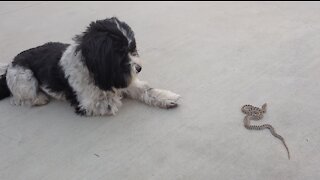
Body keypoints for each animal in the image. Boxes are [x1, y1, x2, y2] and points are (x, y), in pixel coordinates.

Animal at [0, 16, 180, 115]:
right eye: (120, 53)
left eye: (132, 49)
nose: (139, 68)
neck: (94, 69)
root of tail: (10, 64)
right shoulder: (88, 104)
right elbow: (112, 100)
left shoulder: (123, 79)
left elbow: (145, 89)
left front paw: (165, 97)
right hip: (25, 77)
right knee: (20, 98)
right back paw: (39, 98)